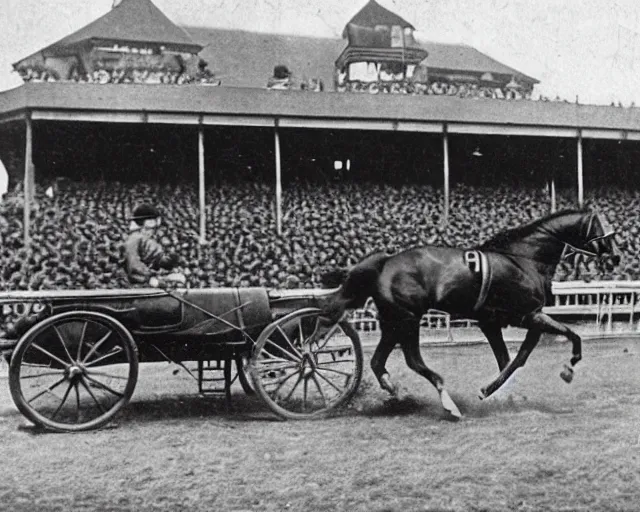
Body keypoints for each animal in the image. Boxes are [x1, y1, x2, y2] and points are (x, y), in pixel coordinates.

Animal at [316, 209, 620, 420]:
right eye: (604, 227)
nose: (616, 257)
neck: (524, 259)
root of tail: (385, 261)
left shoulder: (498, 321)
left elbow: (513, 359)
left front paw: (499, 393)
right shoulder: (528, 315)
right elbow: (568, 335)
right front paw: (569, 367)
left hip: (393, 321)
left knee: (378, 362)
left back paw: (399, 394)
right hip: (408, 319)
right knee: (413, 360)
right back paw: (447, 404)